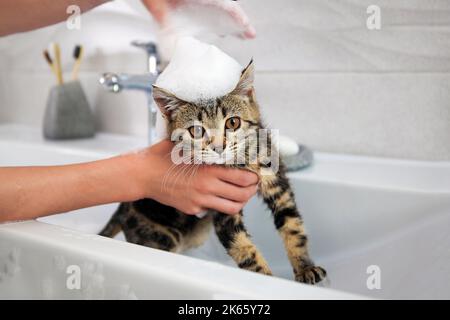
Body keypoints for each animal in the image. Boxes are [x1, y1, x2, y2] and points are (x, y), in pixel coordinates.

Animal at [100, 61, 326, 284]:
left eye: (233, 122)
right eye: (196, 131)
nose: (218, 147)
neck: (241, 163)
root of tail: (121, 209)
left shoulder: (277, 181)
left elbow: (292, 225)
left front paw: (305, 267)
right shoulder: (223, 204)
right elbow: (243, 248)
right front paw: (264, 278)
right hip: (159, 236)